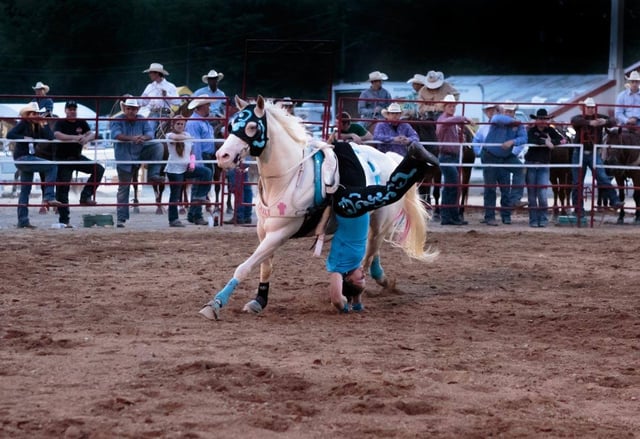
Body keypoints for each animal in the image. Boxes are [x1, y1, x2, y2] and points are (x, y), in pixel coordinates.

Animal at [199, 95, 436, 320]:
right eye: (231, 125)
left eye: (251, 127)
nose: (222, 156)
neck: (288, 177)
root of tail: (387, 158)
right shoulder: (263, 231)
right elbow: (265, 267)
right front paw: (259, 301)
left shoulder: (280, 233)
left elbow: (245, 266)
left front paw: (215, 304)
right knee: (372, 253)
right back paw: (381, 281)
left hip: (380, 221)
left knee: (368, 255)